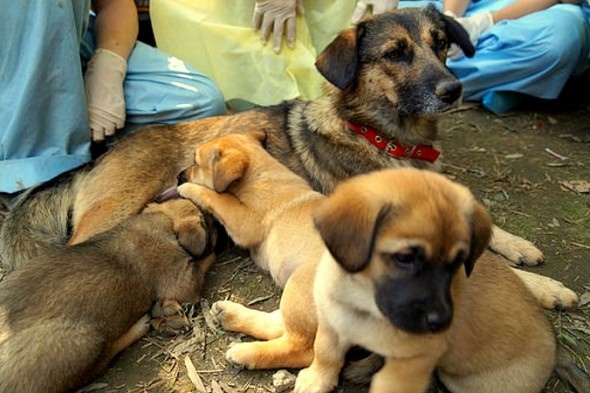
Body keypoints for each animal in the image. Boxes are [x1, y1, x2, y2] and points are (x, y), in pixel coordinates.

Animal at [0, 199, 219, 392]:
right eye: (207, 220)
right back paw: (139, 326)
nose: (218, 222)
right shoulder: (183, 278)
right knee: (101, 361)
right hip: (85, 345)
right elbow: (204, 262)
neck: (159, 217)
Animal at [178, 135, 556, 392]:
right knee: (282, 326)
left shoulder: (245, 221)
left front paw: (188, 190)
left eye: (195, 162)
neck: (264, 172)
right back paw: (230, 315)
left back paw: (247, 353)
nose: (180, 173)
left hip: (301, 285)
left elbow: (218, 199)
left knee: (301, 346)